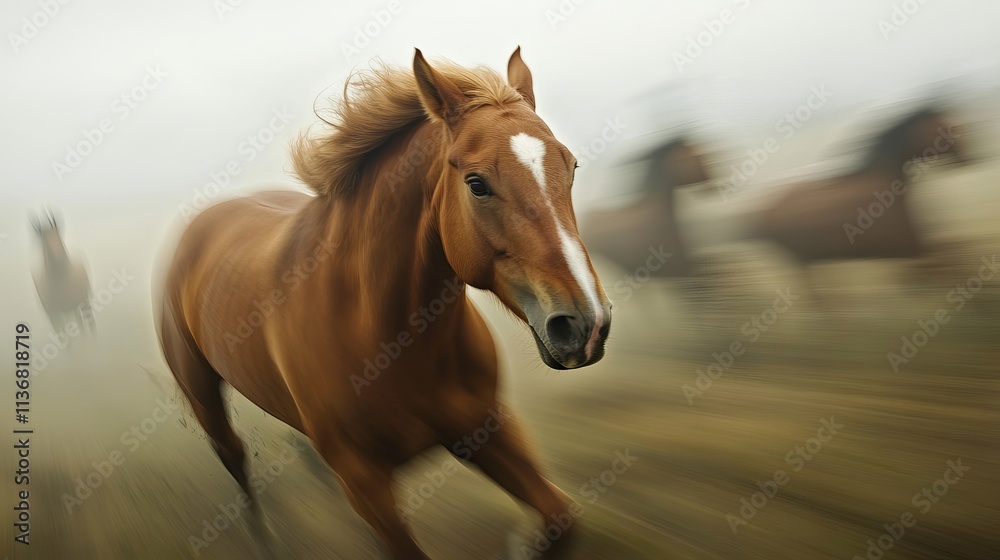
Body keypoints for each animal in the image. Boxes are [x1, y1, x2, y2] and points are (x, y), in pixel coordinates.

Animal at [155, 48, 612, 559]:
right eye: (476, 184)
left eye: (570, 167)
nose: (586, 325)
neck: (385, 337)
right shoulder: (364, 482)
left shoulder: (486, 428)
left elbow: (560, 517)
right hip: (201, 392)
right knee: (233, 457)